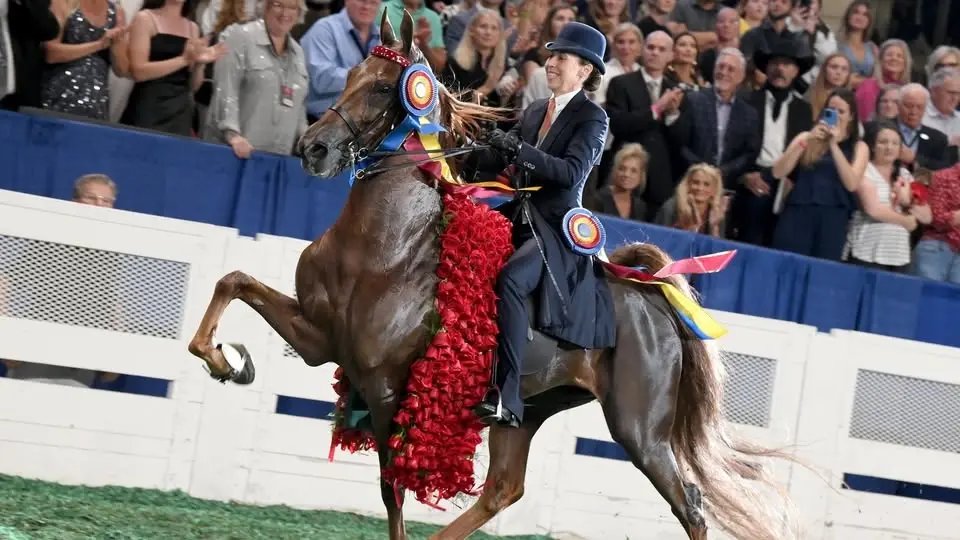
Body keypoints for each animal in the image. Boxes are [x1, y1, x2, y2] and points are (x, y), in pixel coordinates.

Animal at [187, 10, 799, 540]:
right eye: (351, 73)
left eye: (385, 88)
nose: (313, 148)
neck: (381, 247)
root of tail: (652, 299)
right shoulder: (320, 340)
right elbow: (232, 281)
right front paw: (227, 361)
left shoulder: (384, 386)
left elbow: (392, 491)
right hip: (525, 410)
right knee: (503, 489)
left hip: (639, 429)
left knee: (689, 506)